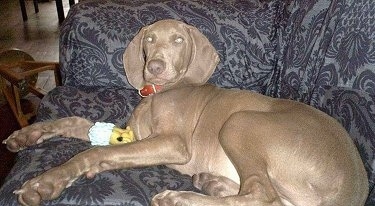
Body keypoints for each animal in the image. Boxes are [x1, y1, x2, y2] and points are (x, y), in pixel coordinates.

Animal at [2, 18, 370, 204]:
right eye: (149, 40)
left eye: (179, 40)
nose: (155, 67)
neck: (158, 93)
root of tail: (354, 186)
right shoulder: (132, 134)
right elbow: (75, 120)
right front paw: (28, 134)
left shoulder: (175, 143)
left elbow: (92, 154)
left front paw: (45, 183)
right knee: (270, 198)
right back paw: (211, 183)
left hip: (240, 122)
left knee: (261, 195)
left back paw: (181, 198)